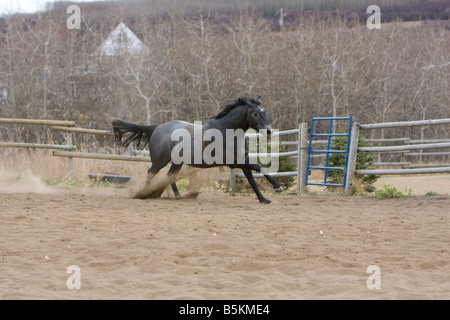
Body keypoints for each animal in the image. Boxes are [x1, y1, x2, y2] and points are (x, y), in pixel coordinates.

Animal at [112, 96, 282, 204]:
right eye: (255, 113)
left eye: (264, 112)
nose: (269, 131)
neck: (227, 131)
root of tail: (157, 128)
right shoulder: (233, 162)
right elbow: (258, 167)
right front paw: (277, 187)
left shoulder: (242, 161)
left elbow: (253, 179)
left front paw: (264, 199)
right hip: (160, 161)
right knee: (151, 173)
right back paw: (144, 193)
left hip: (177, 162)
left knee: (169, 176)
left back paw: (179, 196)